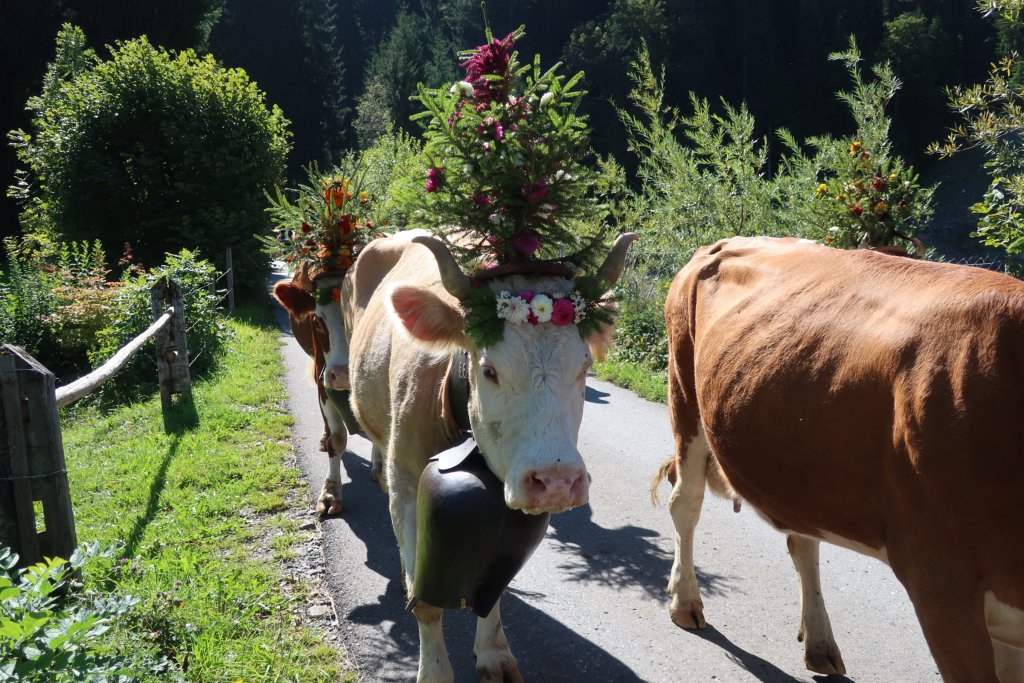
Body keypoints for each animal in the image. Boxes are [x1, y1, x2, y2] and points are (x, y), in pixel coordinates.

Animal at [344, 231, 630, 683]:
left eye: (584, 365)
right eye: (489, 369)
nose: (557, 481)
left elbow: (492, 588)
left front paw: (494, 654)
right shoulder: (406, 485)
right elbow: (425, 600)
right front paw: (434, 671)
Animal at [655, 236, 1024, 683]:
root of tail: (726, 242)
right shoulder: (941, 583)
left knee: (802, 539)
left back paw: (819, 643)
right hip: (683, 390)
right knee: (685, 502)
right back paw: (685, 602)